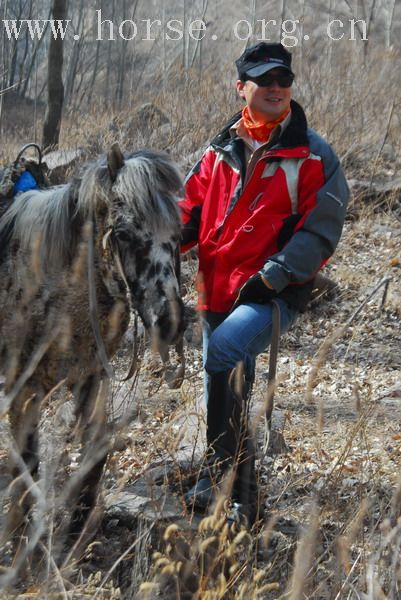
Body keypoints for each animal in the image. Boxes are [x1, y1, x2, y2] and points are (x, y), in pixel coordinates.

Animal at [0, 143, 184, 564]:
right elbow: (26, 465)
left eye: (178, 234)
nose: (169, 322)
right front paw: (18, 546)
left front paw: (79, 532)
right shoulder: (24, 388)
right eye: (124, 233)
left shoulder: (92, 377)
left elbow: (94, 454)